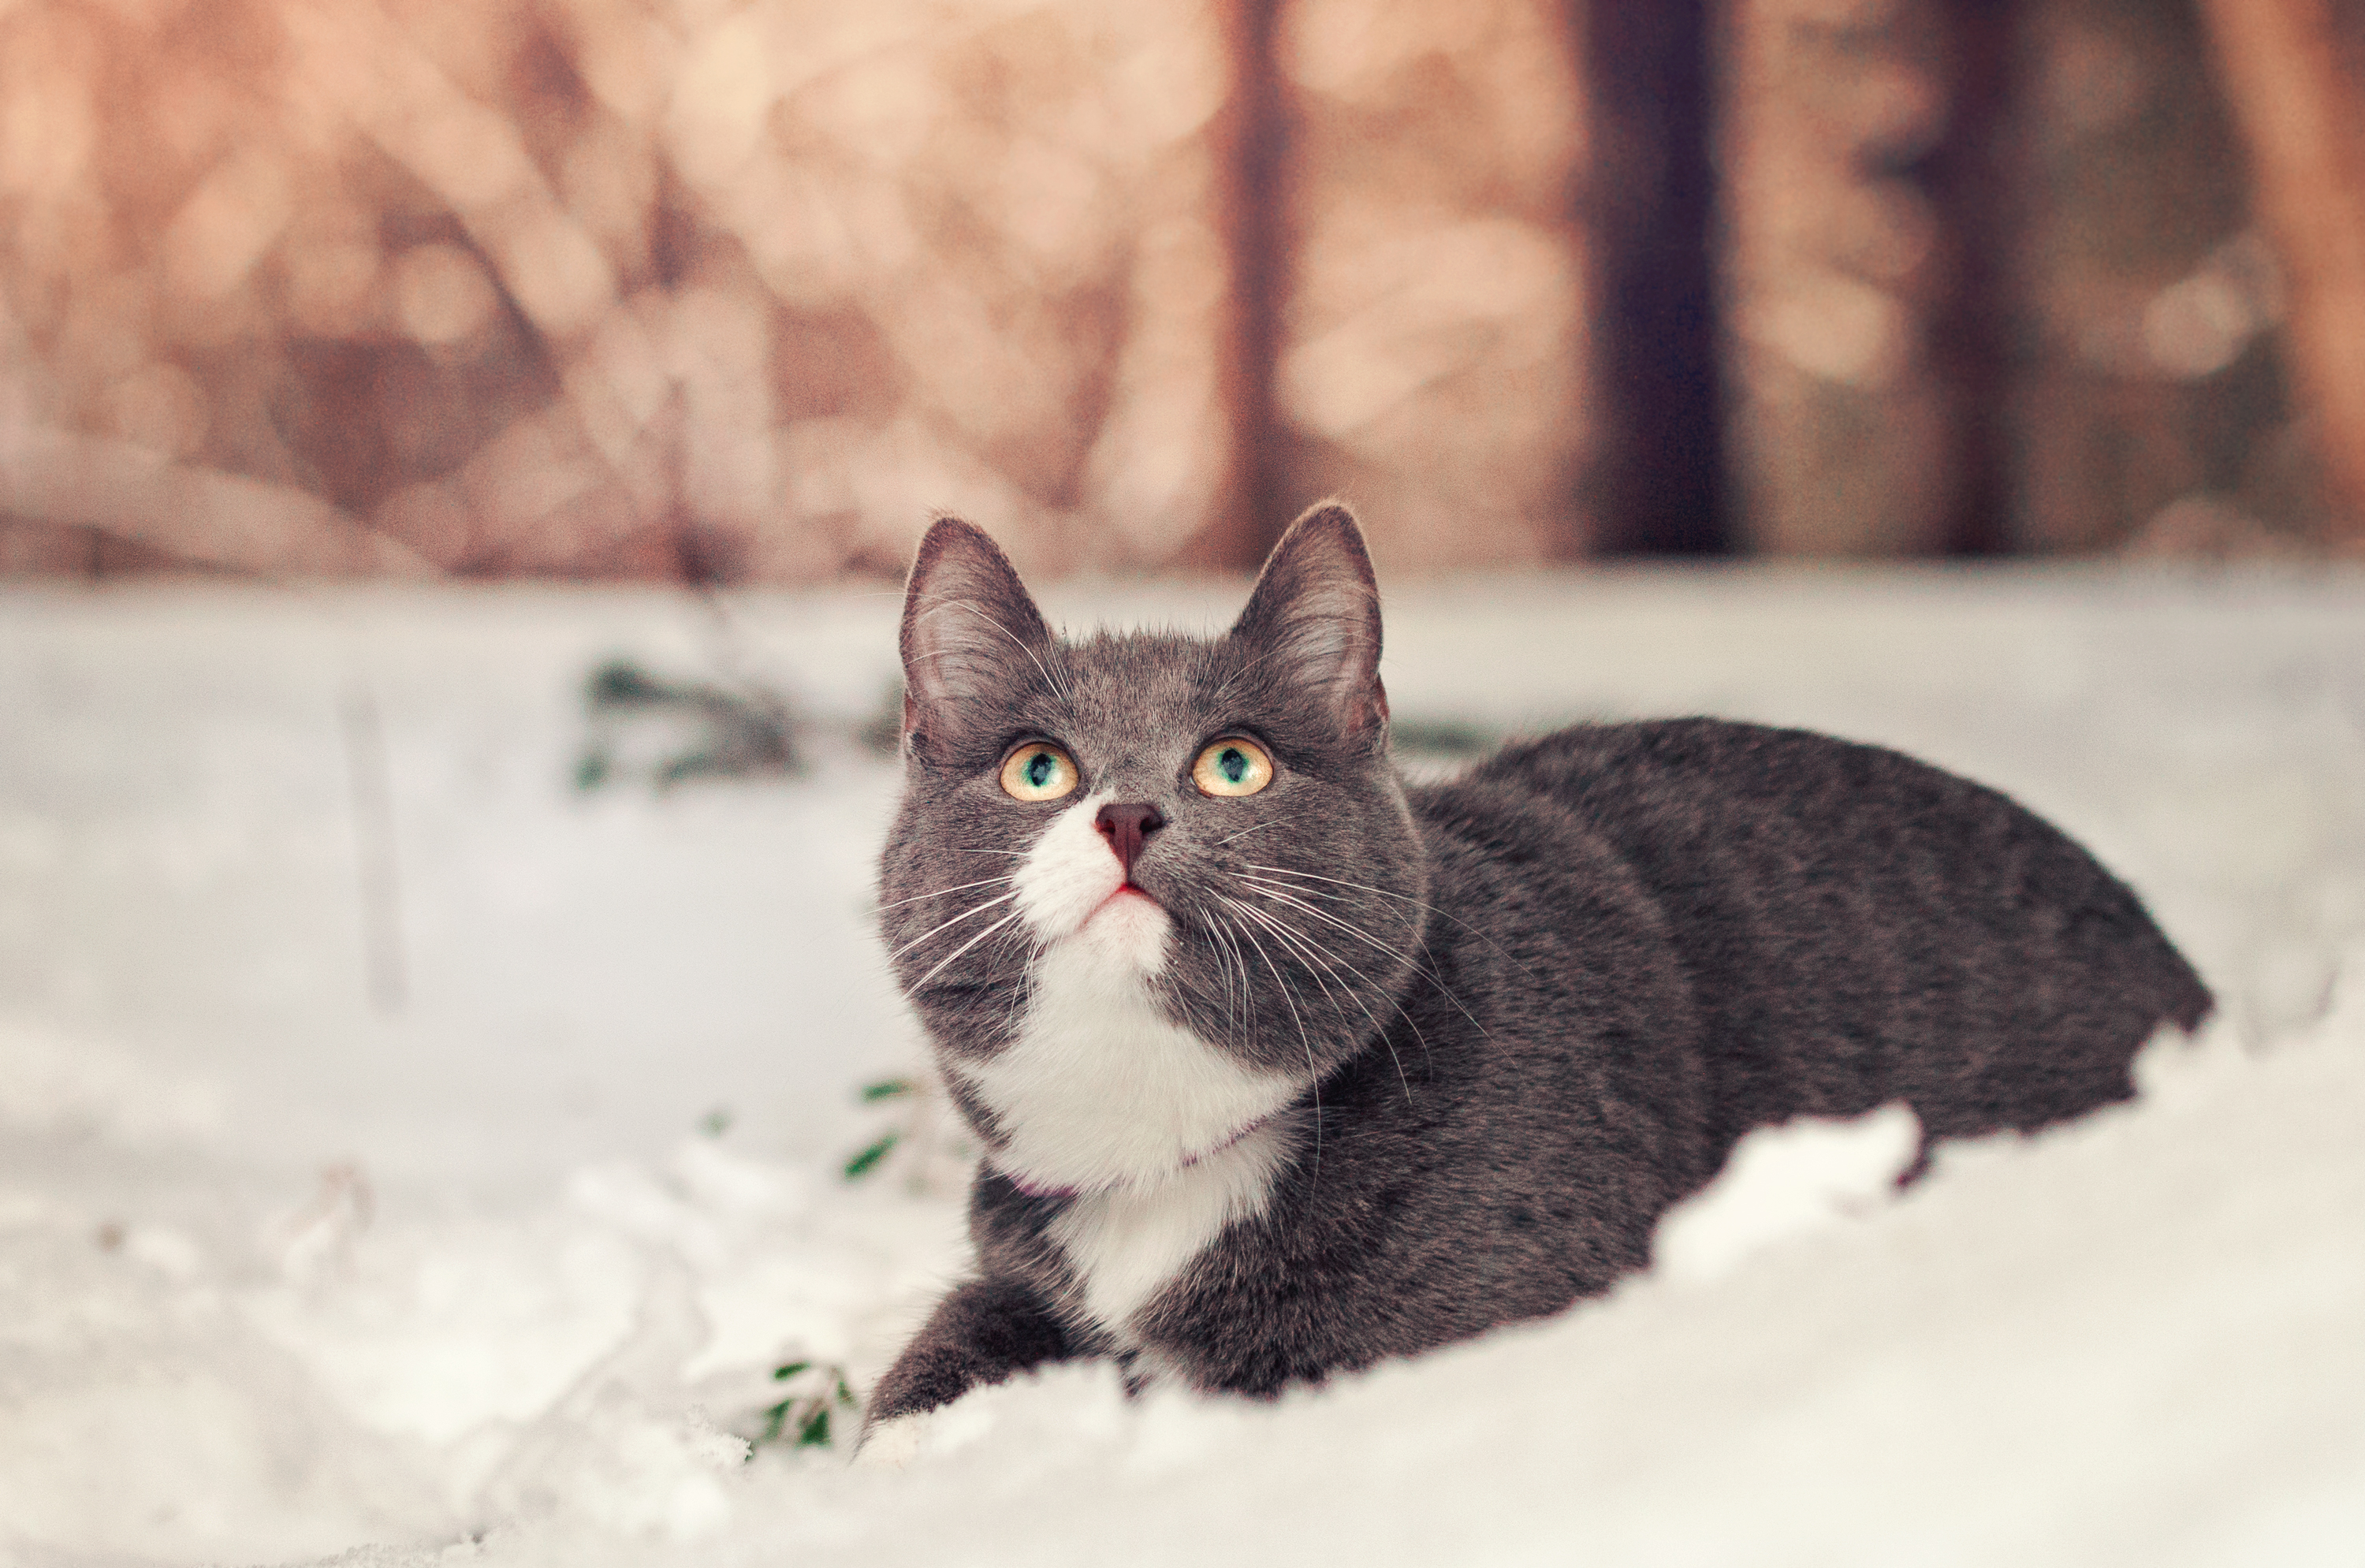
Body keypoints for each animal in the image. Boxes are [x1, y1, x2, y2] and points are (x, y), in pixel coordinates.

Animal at [856, 499, 2214, 1457]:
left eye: (1234, 763)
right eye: (1037, 768)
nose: (1129, 814)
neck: (1167, 1151)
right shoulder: (1025, 1242)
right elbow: (925, 1367)